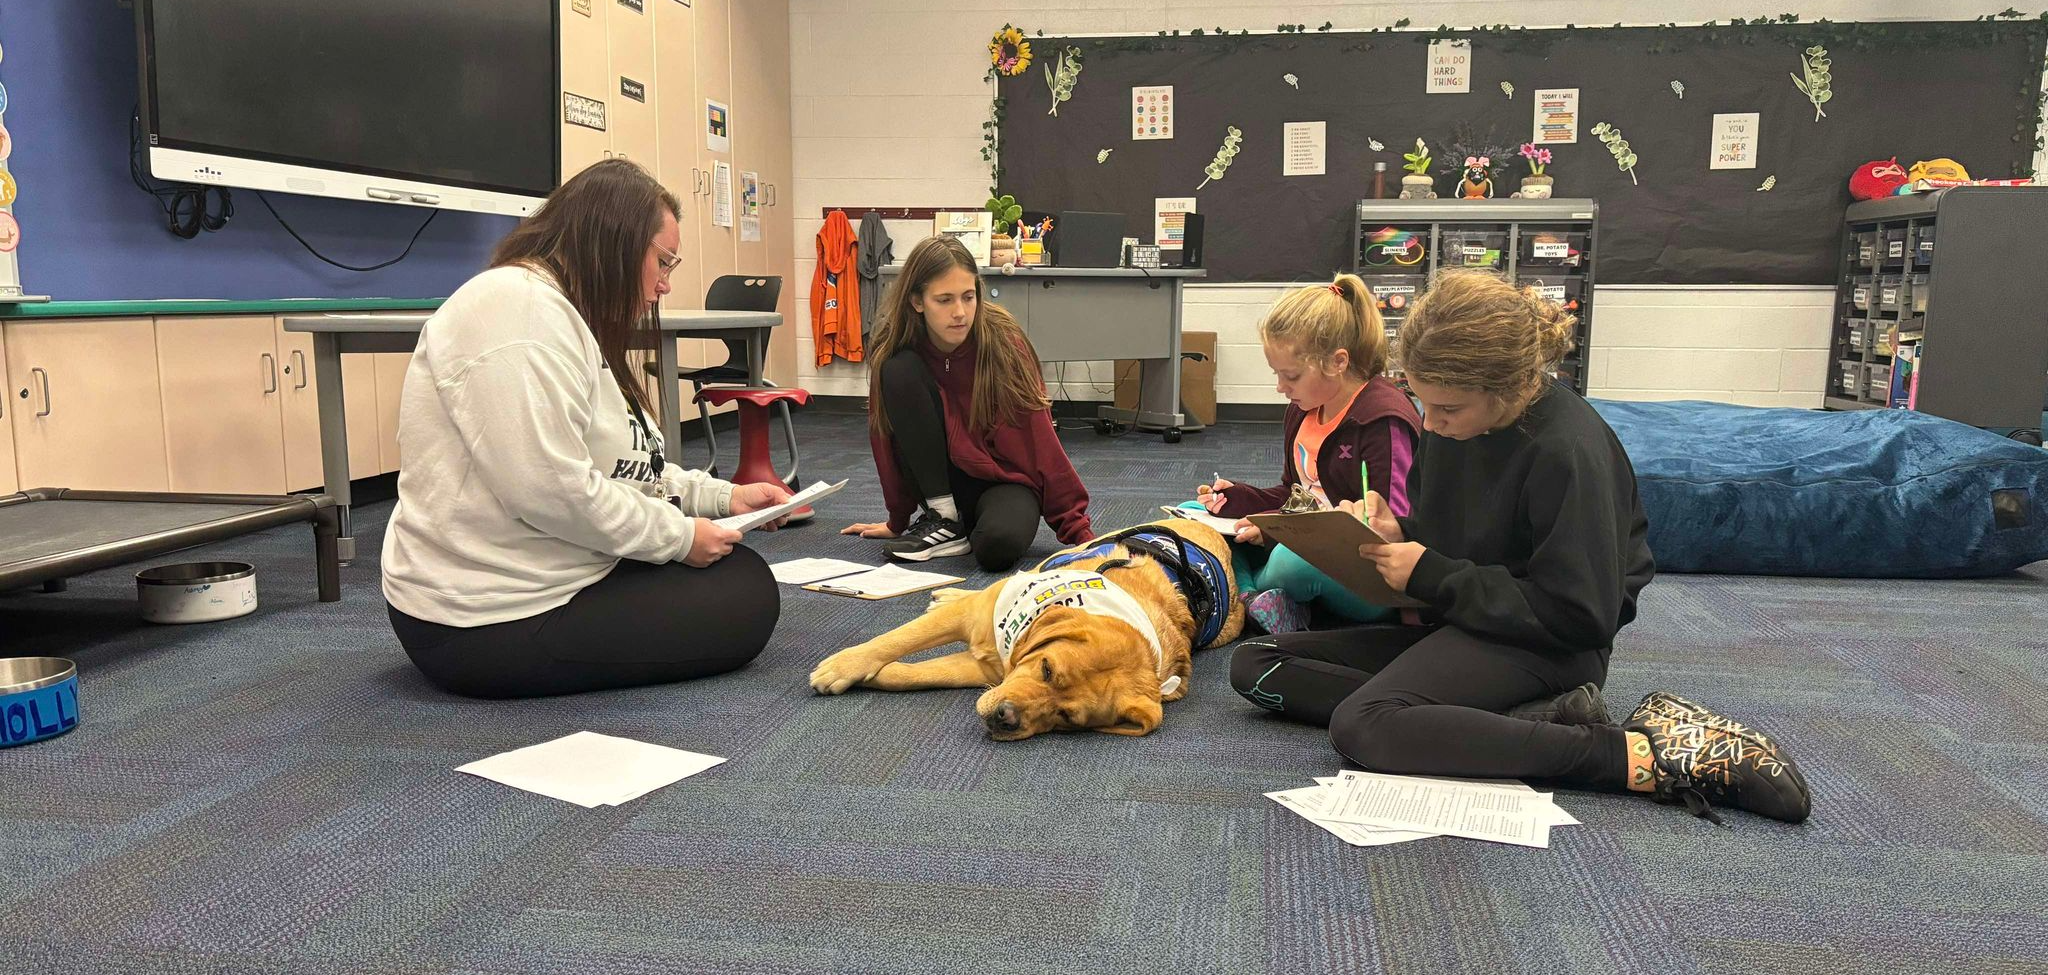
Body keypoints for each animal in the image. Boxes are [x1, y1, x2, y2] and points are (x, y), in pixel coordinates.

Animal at [806, 518, 1236, 737]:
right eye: (1046, 668)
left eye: (1065, 717)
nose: (1005, 718)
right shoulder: (973, 618)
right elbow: (898, 638)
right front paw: (843, 667)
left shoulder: (985, 670)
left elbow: (921, 674)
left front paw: (877, 676)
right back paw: (948, 593)